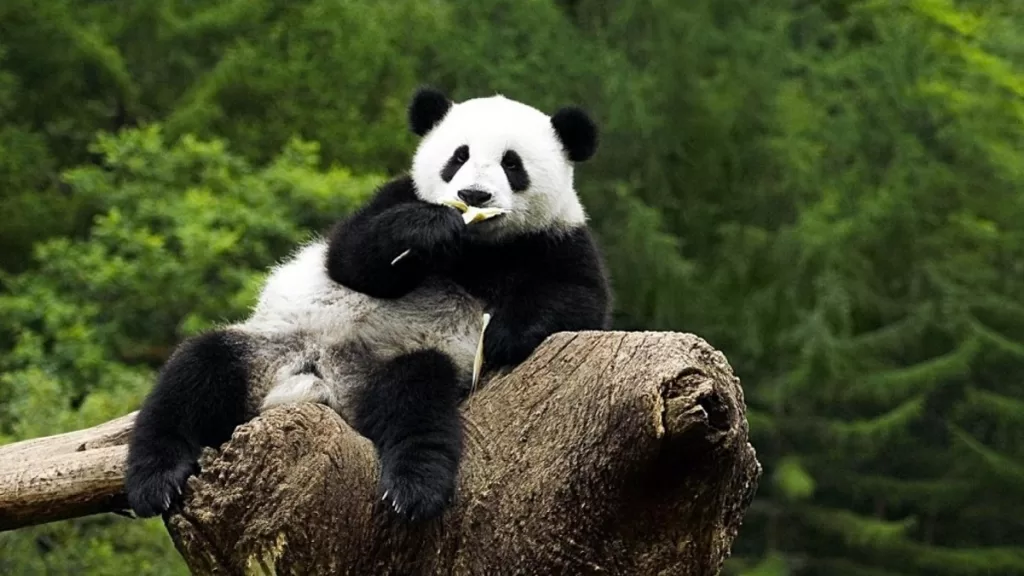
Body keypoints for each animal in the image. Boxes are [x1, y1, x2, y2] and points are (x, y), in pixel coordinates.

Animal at [124, 87, 613, 523]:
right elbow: (350, 257)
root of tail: (320, 381)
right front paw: (428, 229)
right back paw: (156, 479)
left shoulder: (556, 239)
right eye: (458, 157)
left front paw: (502, 335)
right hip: (269, 347)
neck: (477, 247)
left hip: (394, 363)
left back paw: (413, 488)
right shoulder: (394, 197)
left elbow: (579, 300)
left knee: (415, 401)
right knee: (196, 373)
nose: (473, 196)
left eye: (512, 164)